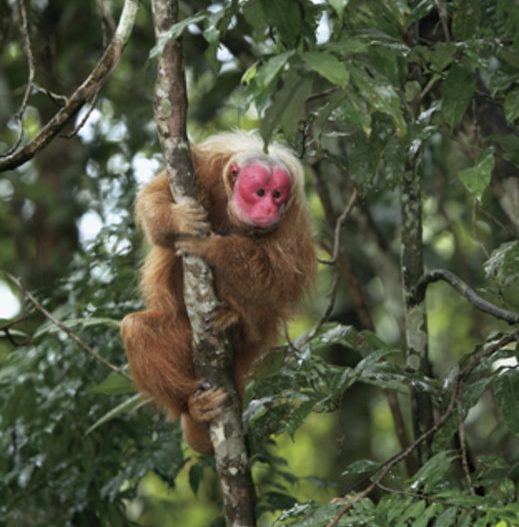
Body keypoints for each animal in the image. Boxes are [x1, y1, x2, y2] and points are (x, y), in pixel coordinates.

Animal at [121, 132, 316, 454]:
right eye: (260, 192)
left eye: (278, 194)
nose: (269, 209)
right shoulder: (201, 165)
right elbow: (153, 200)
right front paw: (177, 220)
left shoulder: (293, 222)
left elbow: (277, 279)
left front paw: (214, 248)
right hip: (182, 334)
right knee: (135, 329)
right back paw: (192, 405)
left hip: (253, 339)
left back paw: (236, 323)